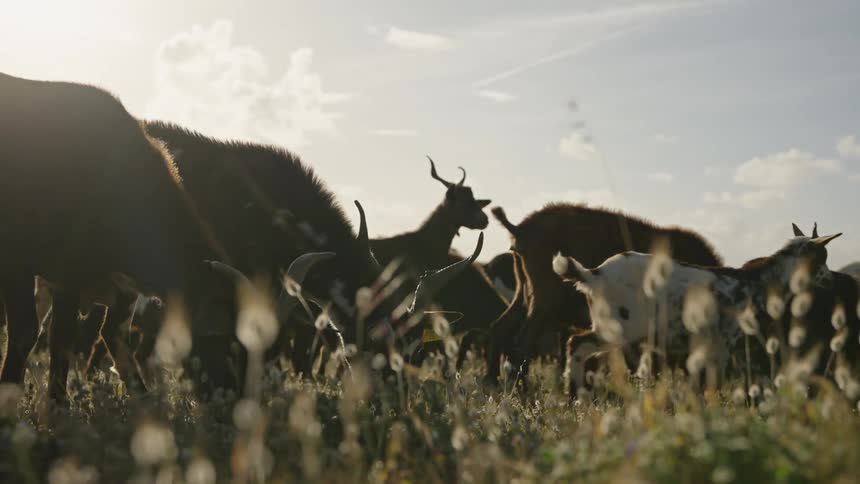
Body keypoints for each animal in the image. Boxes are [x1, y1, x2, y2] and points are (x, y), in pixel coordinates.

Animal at [488, 203, 723, 385]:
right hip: (543, 304)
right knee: (521, 344)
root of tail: (520, 229)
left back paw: (494, 383)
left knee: (501, 328)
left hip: (524, 295)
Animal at [555, 230, 842, 398]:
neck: (760, 282)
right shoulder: (726, 343)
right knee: (577, 344)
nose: (831, 279)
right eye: (823, 257)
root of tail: (594, 274)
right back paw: (575, 397)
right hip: (618, 327)